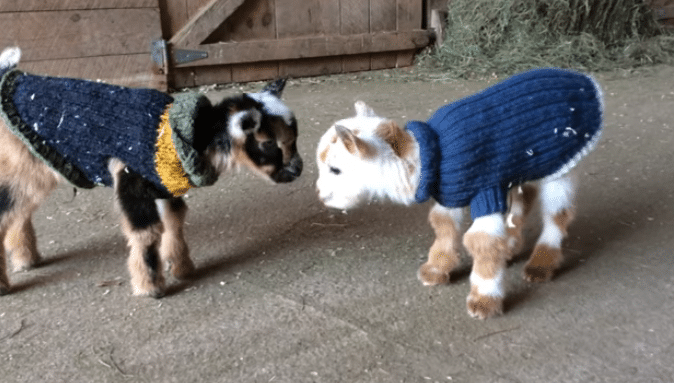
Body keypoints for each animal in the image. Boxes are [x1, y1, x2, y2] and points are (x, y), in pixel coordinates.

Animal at [316, 68, 604, 318]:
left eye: (335, 169)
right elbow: (443, 226)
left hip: (561, 165)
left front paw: (484, 301)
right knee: (525, 198)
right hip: (529, 163)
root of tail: (585, 81)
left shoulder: (485, 193)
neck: (428, 155)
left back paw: (540, 265)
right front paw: (435, 271)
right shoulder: (450, 194)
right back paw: (511, 247)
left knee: (557, 215)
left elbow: (483, 241)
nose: (320, 194)